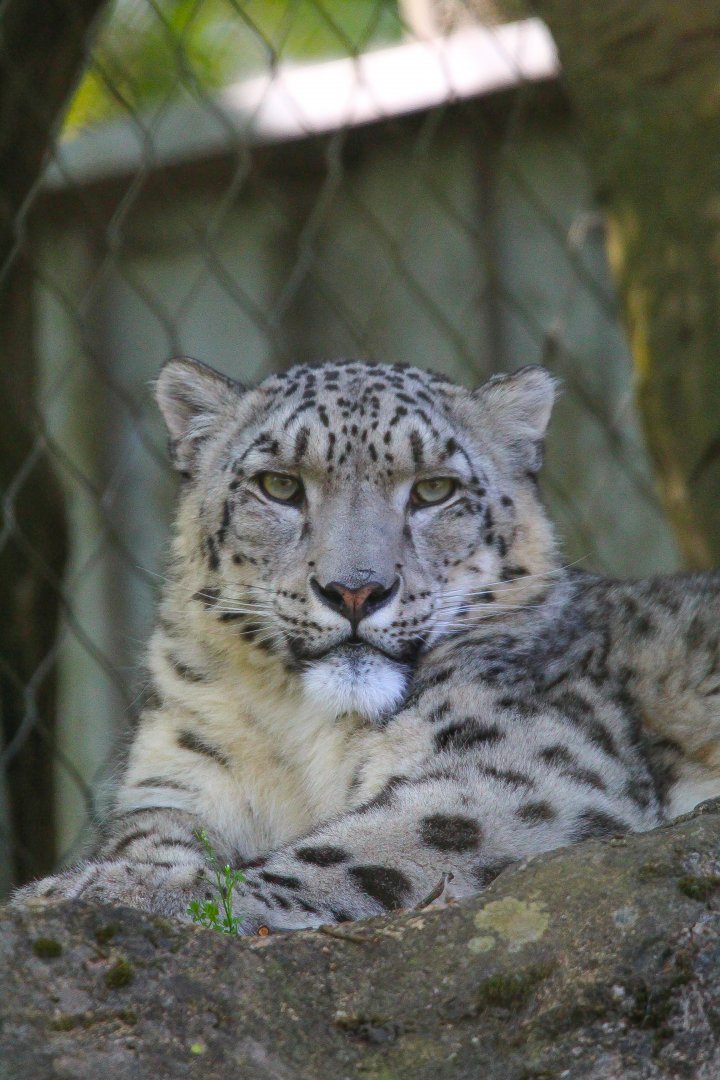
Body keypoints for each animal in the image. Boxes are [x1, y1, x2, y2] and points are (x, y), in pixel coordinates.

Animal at [15, 357, 720, 933]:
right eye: (279, 485)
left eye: (434, 489)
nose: (355, 590)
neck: (304, 731)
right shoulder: (182, 774)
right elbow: (147, 835)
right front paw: (109, 878)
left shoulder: (522, 767)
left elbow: (361, 846)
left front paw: (110, 893)